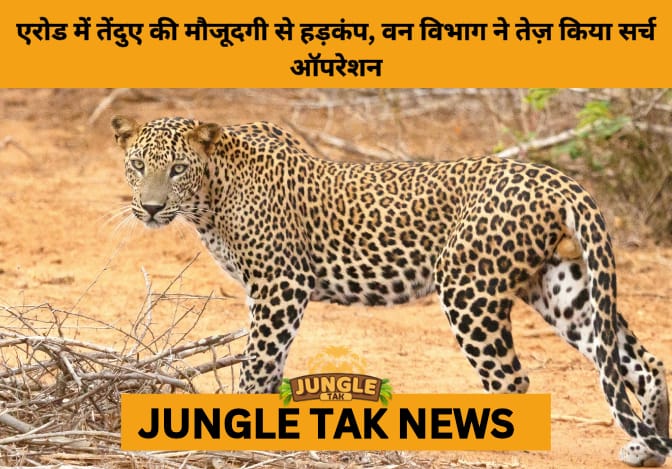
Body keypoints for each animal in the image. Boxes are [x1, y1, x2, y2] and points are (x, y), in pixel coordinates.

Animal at [111, 115, 670, 466]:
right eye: (137, 166)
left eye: (177, 169)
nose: (151, 208)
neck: (211, 196)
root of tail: (558, 179)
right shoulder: (268, 291)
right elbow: (270, 365)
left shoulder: (281, 284)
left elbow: (257, 362)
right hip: (564, 289)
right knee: (640, 363)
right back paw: (645, 448)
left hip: (467, 287)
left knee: (512, 379)